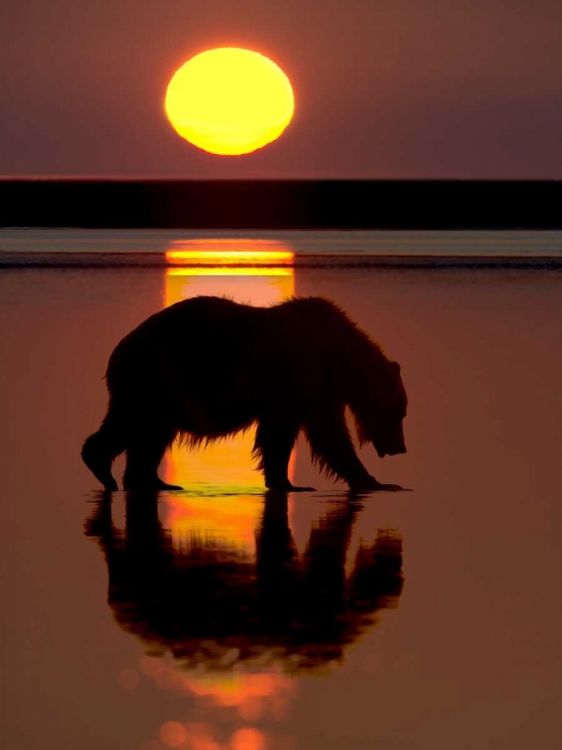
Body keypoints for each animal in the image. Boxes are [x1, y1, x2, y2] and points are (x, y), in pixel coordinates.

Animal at [81, 296, 406, 496]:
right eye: (400, 411)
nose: (401, 448)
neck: (338, 361)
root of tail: (119, 348)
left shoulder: (319, 390)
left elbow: (329, 436)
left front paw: (375, 481)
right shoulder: (295, 376)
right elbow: (290, 433)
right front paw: (290, 483)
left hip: (160, 389)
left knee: (148, 434)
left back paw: (154, 481)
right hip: (157, 376)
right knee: (134, 423)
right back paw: (102, 465)